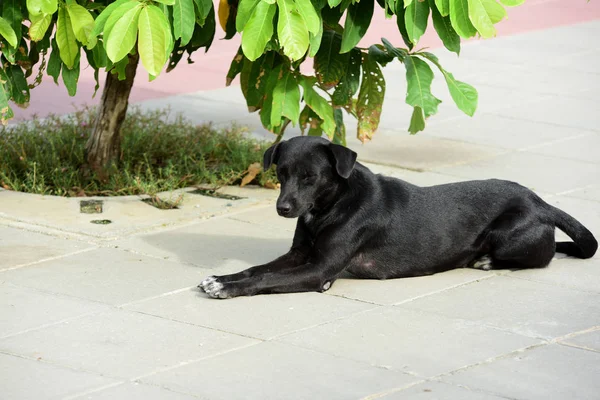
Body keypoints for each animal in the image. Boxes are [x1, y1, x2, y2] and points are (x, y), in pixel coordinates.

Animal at [199, 137, 596, 296]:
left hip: (507, 234)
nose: (283, 208)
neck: (333, 206)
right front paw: (220, 278)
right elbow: (256, 270)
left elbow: (265, 279)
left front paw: (227, 289)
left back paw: (487, 261)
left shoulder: (319, 269)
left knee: (543, 257)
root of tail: (541, 202)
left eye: (310, 176)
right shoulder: (299, 254)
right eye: (281, 173)